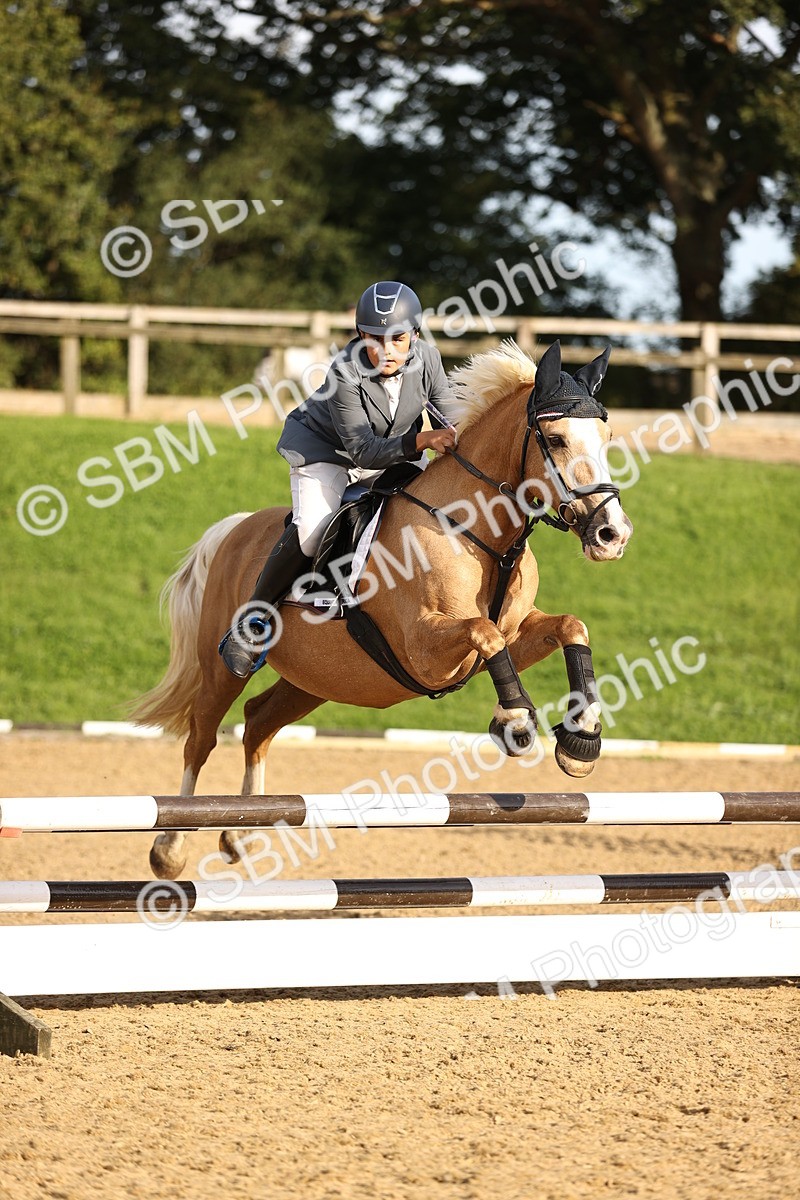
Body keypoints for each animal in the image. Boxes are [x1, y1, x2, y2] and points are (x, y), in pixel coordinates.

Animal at [131, 339, 633, 878]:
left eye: (606, 437)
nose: (613, 534)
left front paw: (581, 739)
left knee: (258, 722)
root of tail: (236, 528)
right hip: (222, 666)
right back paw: (170, 850)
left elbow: (569, 628)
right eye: (556, 439)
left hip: (318, 679)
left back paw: (241, 833)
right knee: (201, 738)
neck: (479, 533)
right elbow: (485, 633)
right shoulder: (426, 651)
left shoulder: (514, 633)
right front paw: (515, 722)